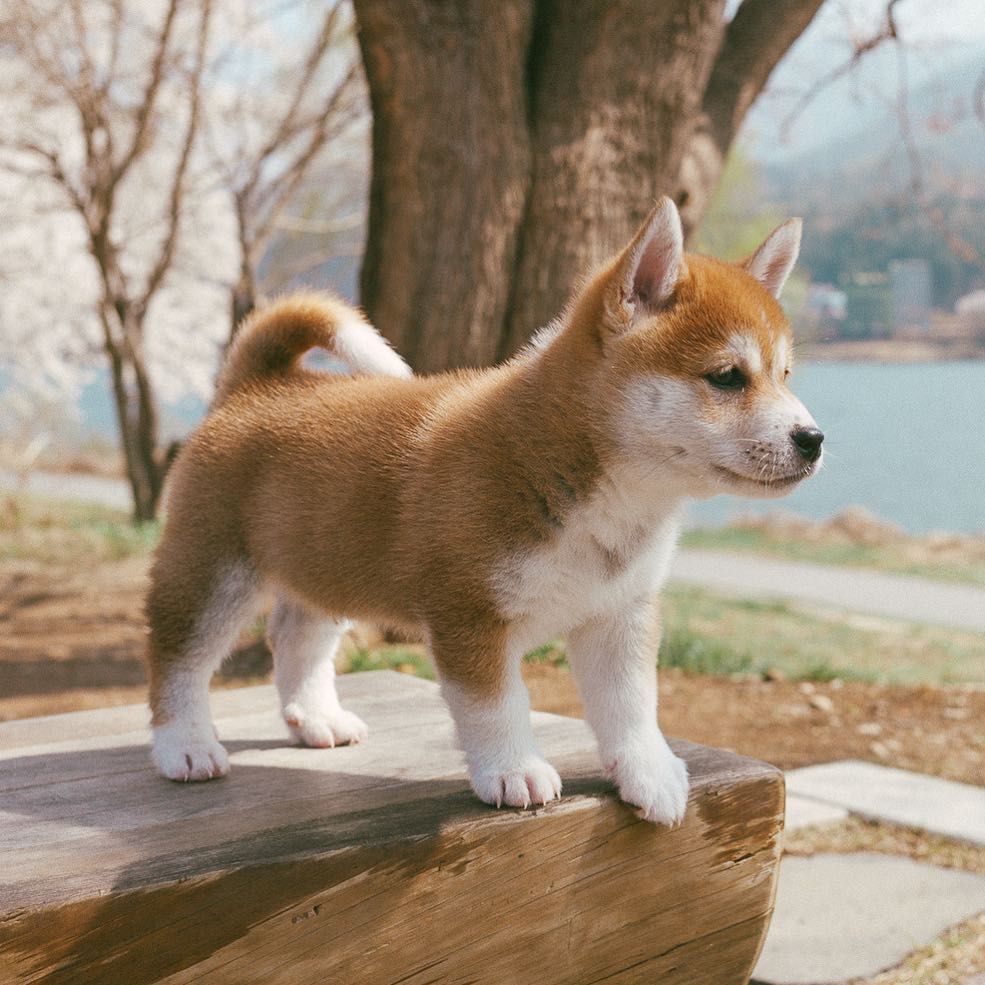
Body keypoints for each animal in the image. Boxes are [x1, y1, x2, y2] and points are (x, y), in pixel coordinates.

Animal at [146, 198, 824, 824]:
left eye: (786, 374)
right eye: (728, 377)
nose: (814, 440)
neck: (596, 487)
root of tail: (254, 386)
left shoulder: (619, 615)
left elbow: (632, 707)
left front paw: (649, 772)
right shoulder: (470, 614)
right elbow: (498, 707)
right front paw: (513, 770)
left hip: (324, 561)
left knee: (295, 638)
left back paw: (316, 718)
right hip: (214, 573)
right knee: (178, 660)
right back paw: (185, 746)